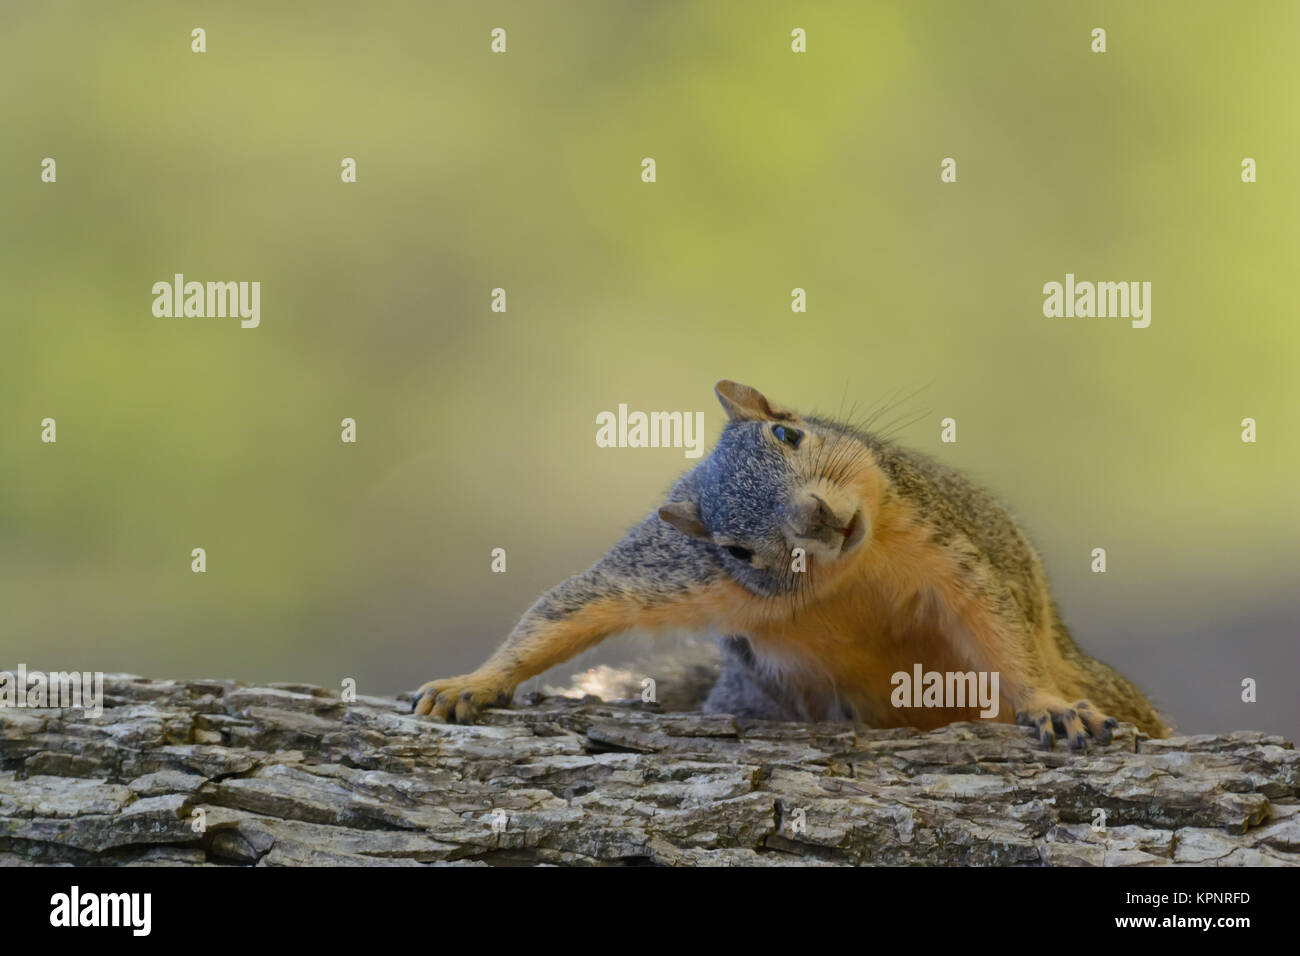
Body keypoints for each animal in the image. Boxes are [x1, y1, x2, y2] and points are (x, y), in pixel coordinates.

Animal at [413, 382, 1170, 749]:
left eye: (787, 431)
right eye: (736, 549)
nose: (817, 518)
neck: (850, 576)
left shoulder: (944, 548)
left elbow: (994, 622)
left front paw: (1047, 707)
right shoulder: (685, 575)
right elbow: (580, 601)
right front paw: (473, 683)